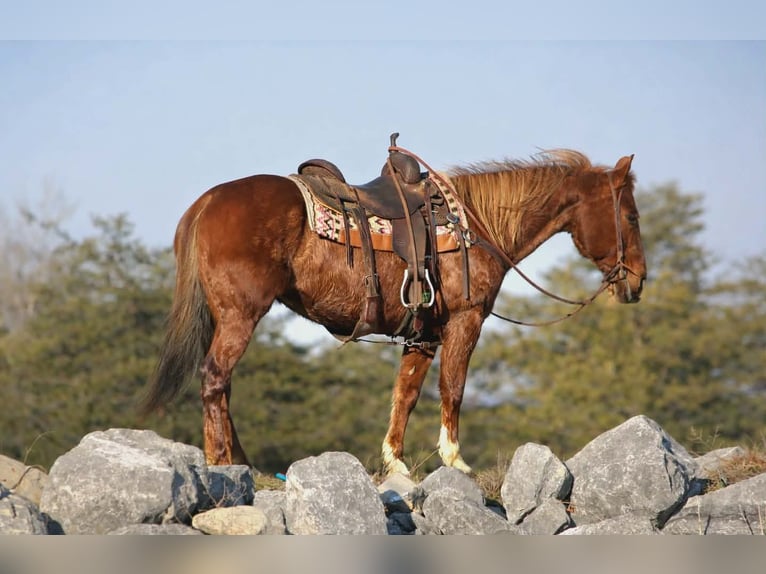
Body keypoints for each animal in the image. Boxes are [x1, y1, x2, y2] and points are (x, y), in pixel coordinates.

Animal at [141, 146, 647, 476]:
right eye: (631, 216)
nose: (639, 280)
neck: (477, 227)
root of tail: (208, 201)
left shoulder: (423, 334)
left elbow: (406, 394)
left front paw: (396, 463)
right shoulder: (466, 321)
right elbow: (452, 388)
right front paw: (455, 459)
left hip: (223, 316)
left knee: (221, 384)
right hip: (241, 315)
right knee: (214, 377)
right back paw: (220, 461)